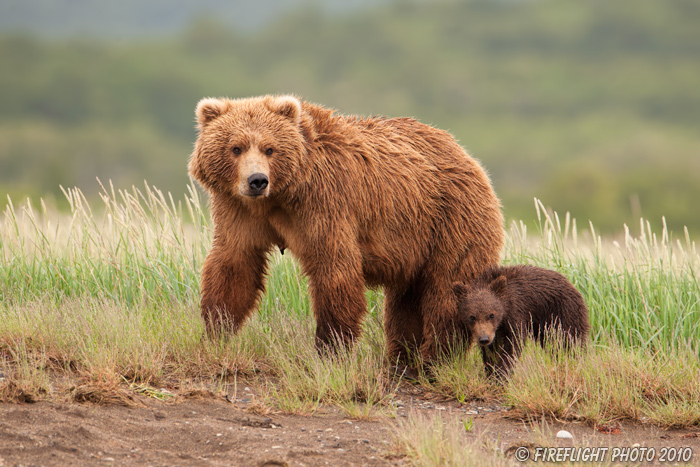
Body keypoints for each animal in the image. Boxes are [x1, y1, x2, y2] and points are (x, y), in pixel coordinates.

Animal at [186, 93, 504, 360]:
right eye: (236, 148)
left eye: (270, 148)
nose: (257, 180)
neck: (280, 196)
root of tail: (468, 157)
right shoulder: (239, 211)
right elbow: (234, 265)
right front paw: (216, 331)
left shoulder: (325, 204)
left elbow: (335, 271)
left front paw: (330, 348)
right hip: (415, 243)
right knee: (406, 302)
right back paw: (403, 358)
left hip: (452, 221)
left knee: (448, 290)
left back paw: (437, 356)